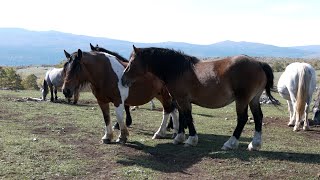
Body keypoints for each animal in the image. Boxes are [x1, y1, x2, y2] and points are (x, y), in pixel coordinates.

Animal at [122, 45, 278, 150]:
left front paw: (191, 139)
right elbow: (183, 116)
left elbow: (187, 117)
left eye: (132, 62)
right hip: (253, 99)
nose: (123, 79)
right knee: (258, 117)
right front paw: (179, 138)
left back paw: (230, 143)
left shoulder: (183, 99)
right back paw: (254, 144)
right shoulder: (179, 100)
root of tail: (259, 63)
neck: (177, 70)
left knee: (243, 119)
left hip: (242, 100)